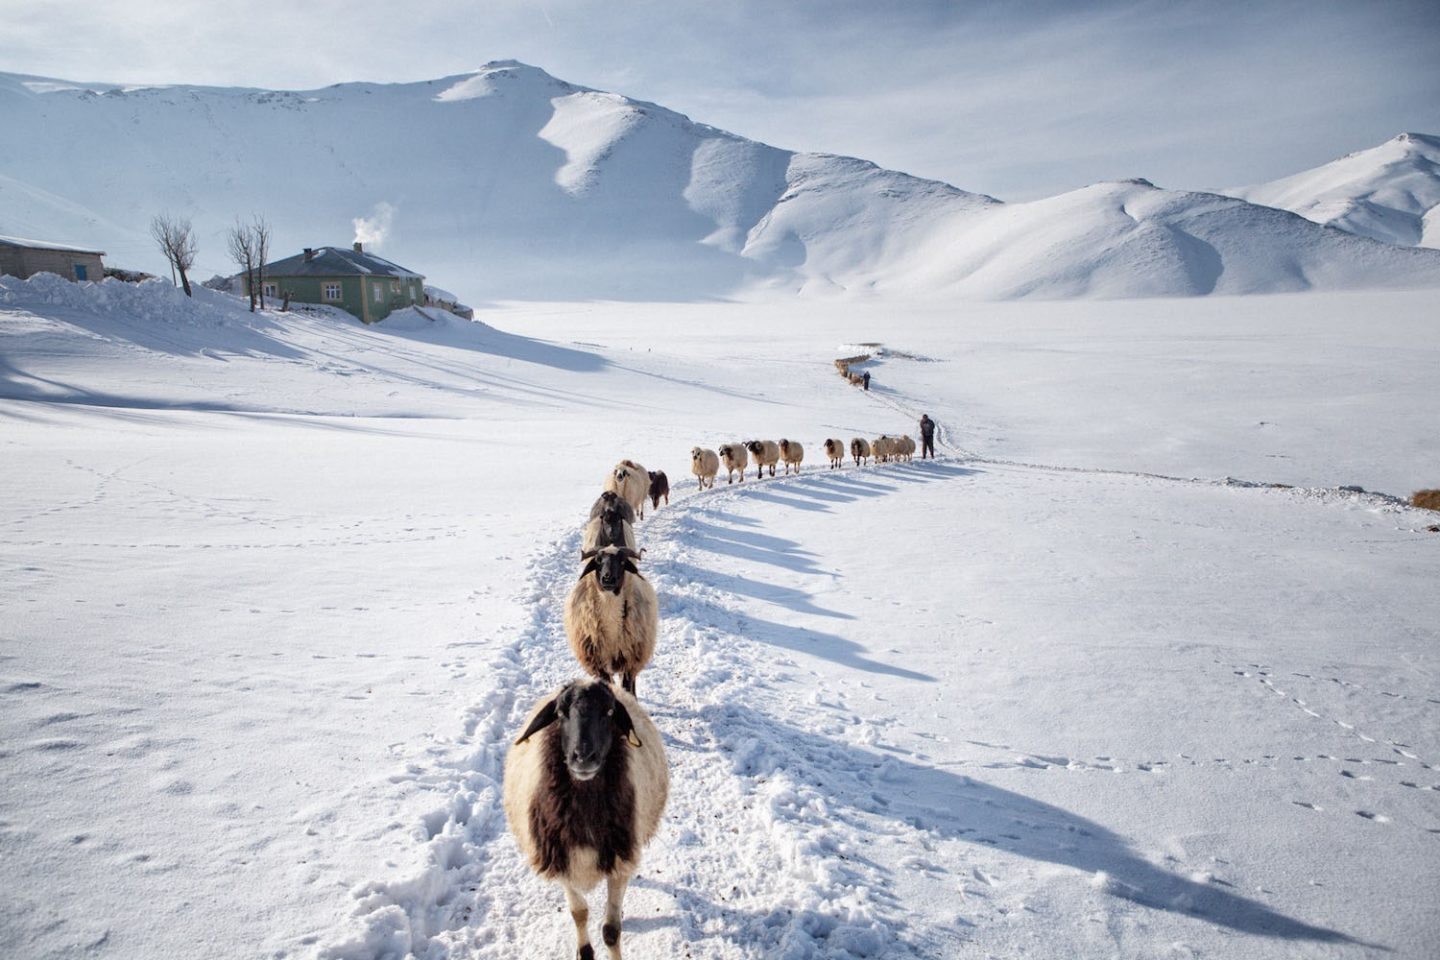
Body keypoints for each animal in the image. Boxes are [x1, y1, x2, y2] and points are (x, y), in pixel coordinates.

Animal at [504, 679, 665, 960]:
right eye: (560, 713)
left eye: (610, 712)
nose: (583, 757)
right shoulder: (563, 862)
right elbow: (579, 913)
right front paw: (585, 951)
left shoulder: (619, 860)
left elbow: (611, 930)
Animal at [561, 546, 659, 699]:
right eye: (598, 560)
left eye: (623, 561)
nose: (607, 578)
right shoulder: (598, 663)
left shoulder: (629, 660)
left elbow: (627, 686)